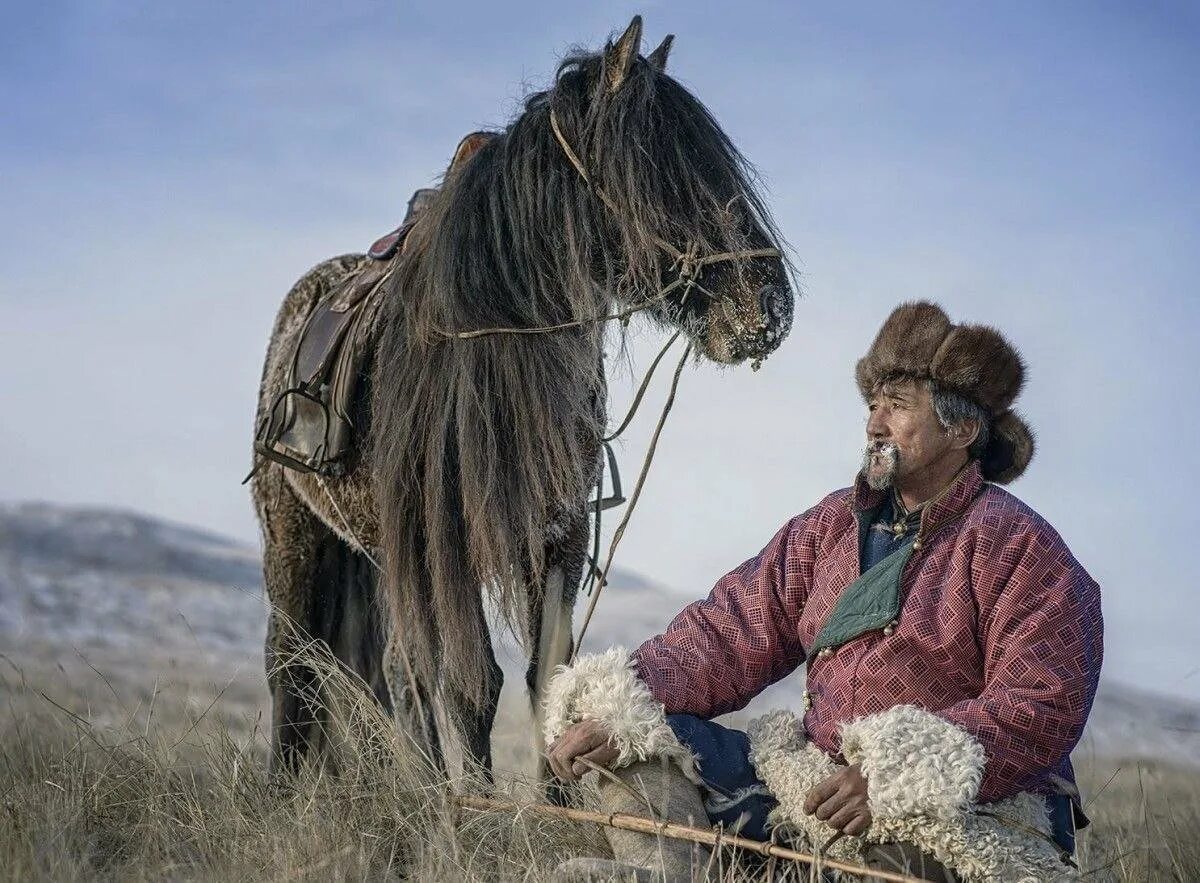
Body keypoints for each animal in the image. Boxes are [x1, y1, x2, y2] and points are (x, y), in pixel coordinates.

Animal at [248, 17, 796, 782]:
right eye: (655, 163)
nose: (771, 305)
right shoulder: (446, 543)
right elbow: (473, 685)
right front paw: (476, 807)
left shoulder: (557, 534)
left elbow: (548, 683)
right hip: (296, 540)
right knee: (293, 663)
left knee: (390, 672)